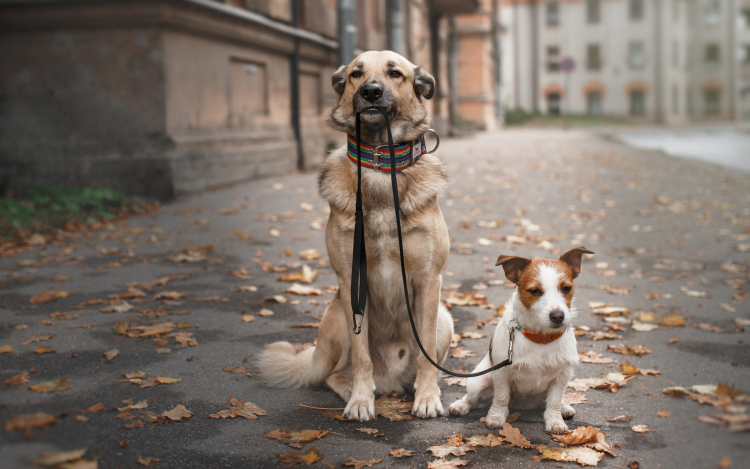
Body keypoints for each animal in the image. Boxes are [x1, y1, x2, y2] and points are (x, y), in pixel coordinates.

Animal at [258, 51, 456, 420]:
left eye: (395, 73)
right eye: (356, 74)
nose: (371, 92)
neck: (380, 162)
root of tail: (391, 380)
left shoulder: (429, 281)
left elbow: (426, 356)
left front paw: (427, 397)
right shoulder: (352, 281)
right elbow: (362, 356)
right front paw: (362, 400)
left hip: (444, 319)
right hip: (337, 312)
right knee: (332, 374)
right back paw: (353, 389)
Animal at [452, 247, 592, 434]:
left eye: (566, 288)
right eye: (535, 291)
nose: (558, 316)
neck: (540, 338)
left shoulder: (563, 374)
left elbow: (554, 400)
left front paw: (555, 420)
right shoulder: (501, 373)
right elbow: (501, 397)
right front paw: (496, 416)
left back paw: (564, 407)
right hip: (478, 381)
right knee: (471, 398)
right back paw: (460, 405)